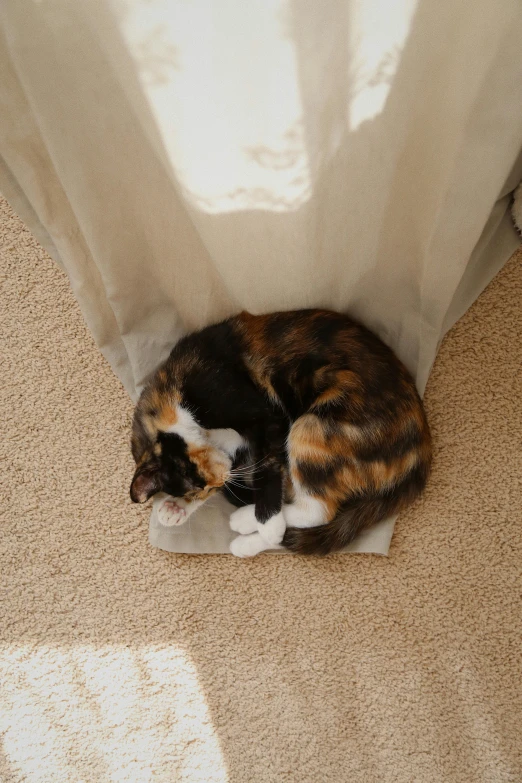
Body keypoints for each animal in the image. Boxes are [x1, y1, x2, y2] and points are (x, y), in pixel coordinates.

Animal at [128, 308, 428, 556]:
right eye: (201, 486)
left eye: (195, 473)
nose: (219, 478)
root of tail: (421, 445)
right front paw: (177, 507)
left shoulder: (264, 415)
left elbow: (267, 467)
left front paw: (269, 523)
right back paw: (247, 539)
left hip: (313, 427)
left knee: (318, 511)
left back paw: (250, 524)